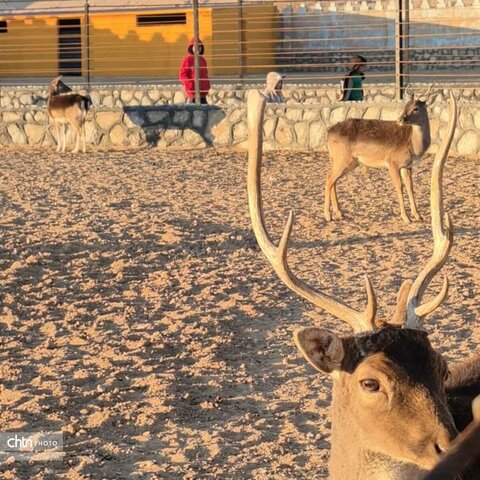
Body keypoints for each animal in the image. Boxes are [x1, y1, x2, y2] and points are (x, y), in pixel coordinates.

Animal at [326, 84, 436, 223]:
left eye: (415, 108)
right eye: (405, 105)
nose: (400, 119)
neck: (413, 143)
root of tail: (329, 132)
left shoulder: (407, 166)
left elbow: (410, 187)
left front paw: (418, 215)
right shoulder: (392, 163)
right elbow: (399, 187)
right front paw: (406, 218)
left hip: (345, 161)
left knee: (333, 180)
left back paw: (339, 212)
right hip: (342, 158)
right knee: (329, 178)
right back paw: (327, 215)